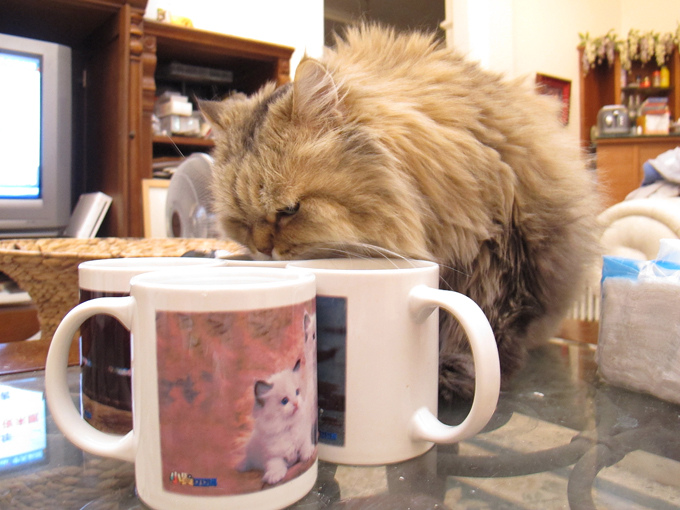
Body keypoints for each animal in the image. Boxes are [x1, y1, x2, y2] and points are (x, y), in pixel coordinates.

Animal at [200, 24, 601, 400]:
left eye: (289, 210)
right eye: (241, 221)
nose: (263, 250)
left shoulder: (502, 249)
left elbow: (482, 322)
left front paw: (453, 374)